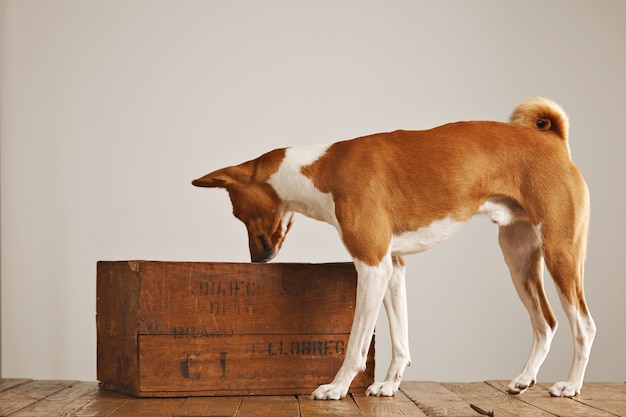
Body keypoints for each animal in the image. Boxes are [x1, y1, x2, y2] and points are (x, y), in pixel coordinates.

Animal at [193, 97, 592, 400]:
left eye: (237, 214)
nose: (256, 260)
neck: (323, 170)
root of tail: (553, 140)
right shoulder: (393, 266)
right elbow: (401, 342)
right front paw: (389, 385)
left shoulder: (371, 266)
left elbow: (355, 345)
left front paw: (336, 388)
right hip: (518, 259)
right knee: (546, 323)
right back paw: (523, 380)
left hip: (560, 254)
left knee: (584, 326)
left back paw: (571, 385)